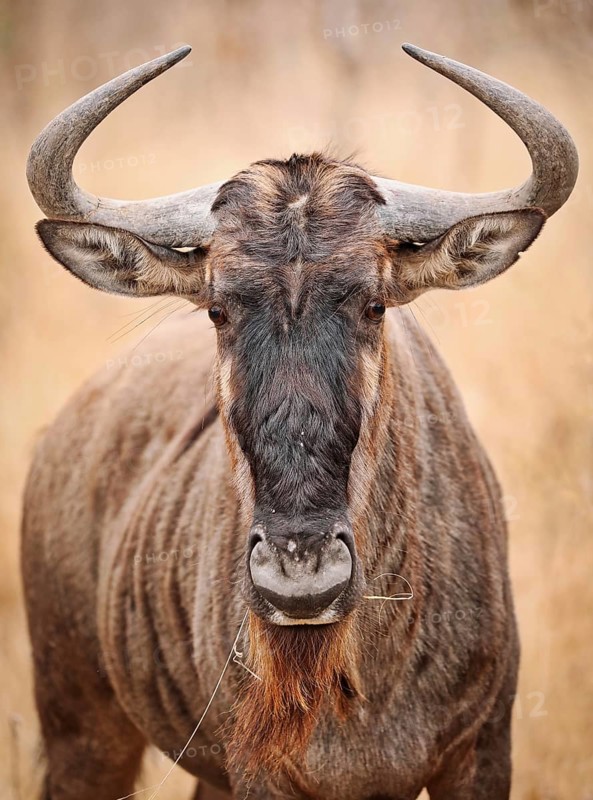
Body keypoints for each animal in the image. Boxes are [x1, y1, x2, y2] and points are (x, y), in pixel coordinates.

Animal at [22, 44, 577, 800]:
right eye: (218, 308)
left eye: (374, 304)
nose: (301, 579)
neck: (359, 678)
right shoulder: (261, 774)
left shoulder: (483, 753)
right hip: (81, 730)